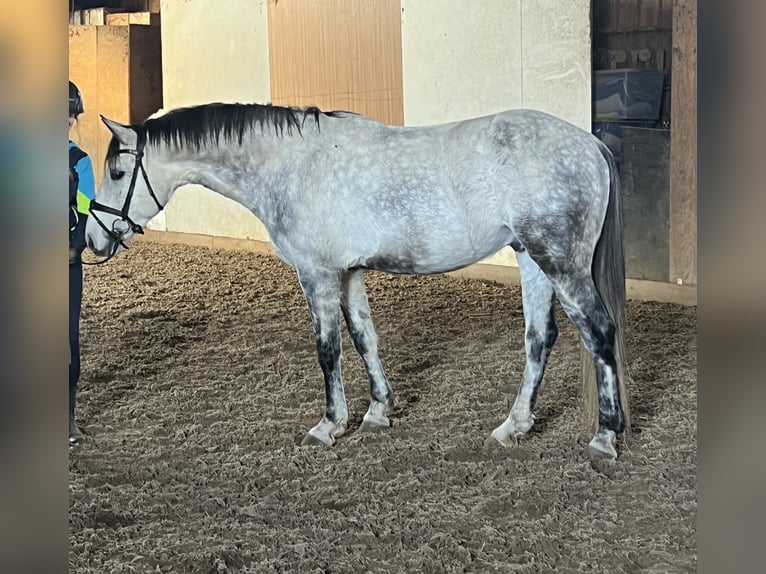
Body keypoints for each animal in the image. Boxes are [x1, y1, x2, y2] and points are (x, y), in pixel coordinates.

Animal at [85, 102, 630, 460]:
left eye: (118, 171)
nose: (92, 237)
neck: (292, 164)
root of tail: (590, 144)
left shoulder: (318, 273)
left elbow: (328, 349)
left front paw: (329, 425)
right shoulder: (348, 273)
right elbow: (365, 337)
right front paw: (378, 413)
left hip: (560, 262)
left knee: (599, 334)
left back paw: (604, 438)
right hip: (532, 260)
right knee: (541, 338)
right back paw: (514, 427)